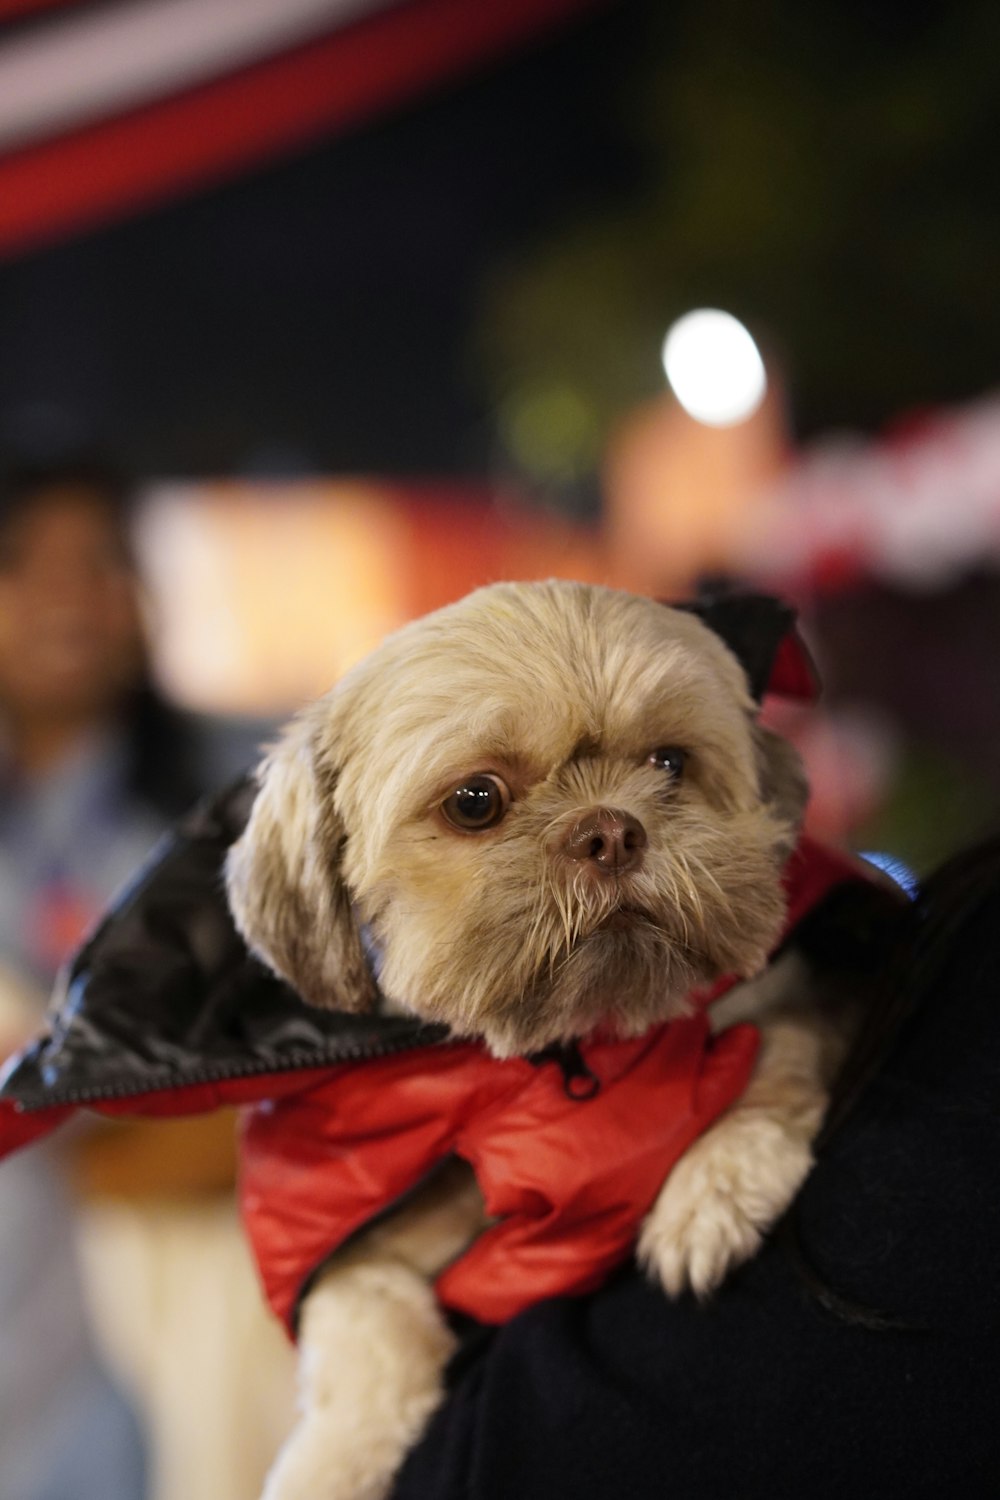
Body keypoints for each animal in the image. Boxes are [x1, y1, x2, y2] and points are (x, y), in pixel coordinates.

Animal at [223, 582, 863, 1500]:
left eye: (669, 764)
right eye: (475, 801)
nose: (611, 830)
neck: (566, 1051)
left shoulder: (808, 994)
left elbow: (777, 1055)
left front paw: (712, 1187)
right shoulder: (362, 1250)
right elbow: (362, 1332)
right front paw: (328, 1464)